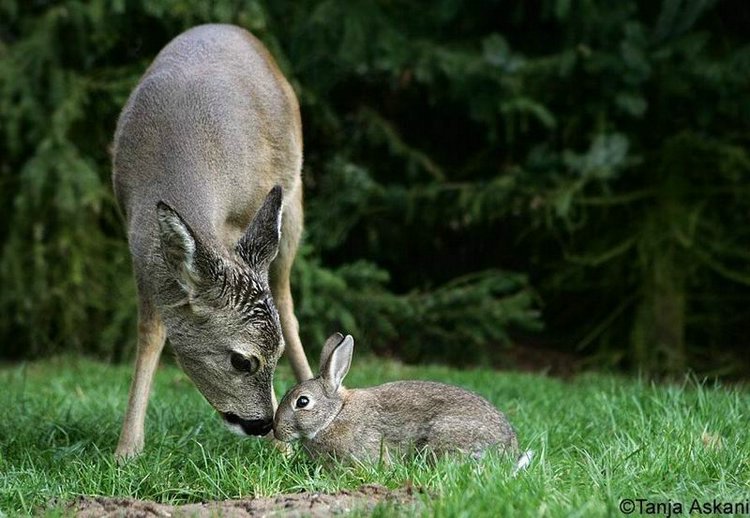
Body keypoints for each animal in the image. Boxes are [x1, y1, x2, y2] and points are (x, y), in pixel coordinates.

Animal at [110, 23, 312, 464]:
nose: (264, 424)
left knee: (287, 302)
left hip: (293, 204)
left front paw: (282, 446)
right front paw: (127, 448)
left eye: (273, 355)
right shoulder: (137, 241)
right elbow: (151, 330)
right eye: (241, 361)